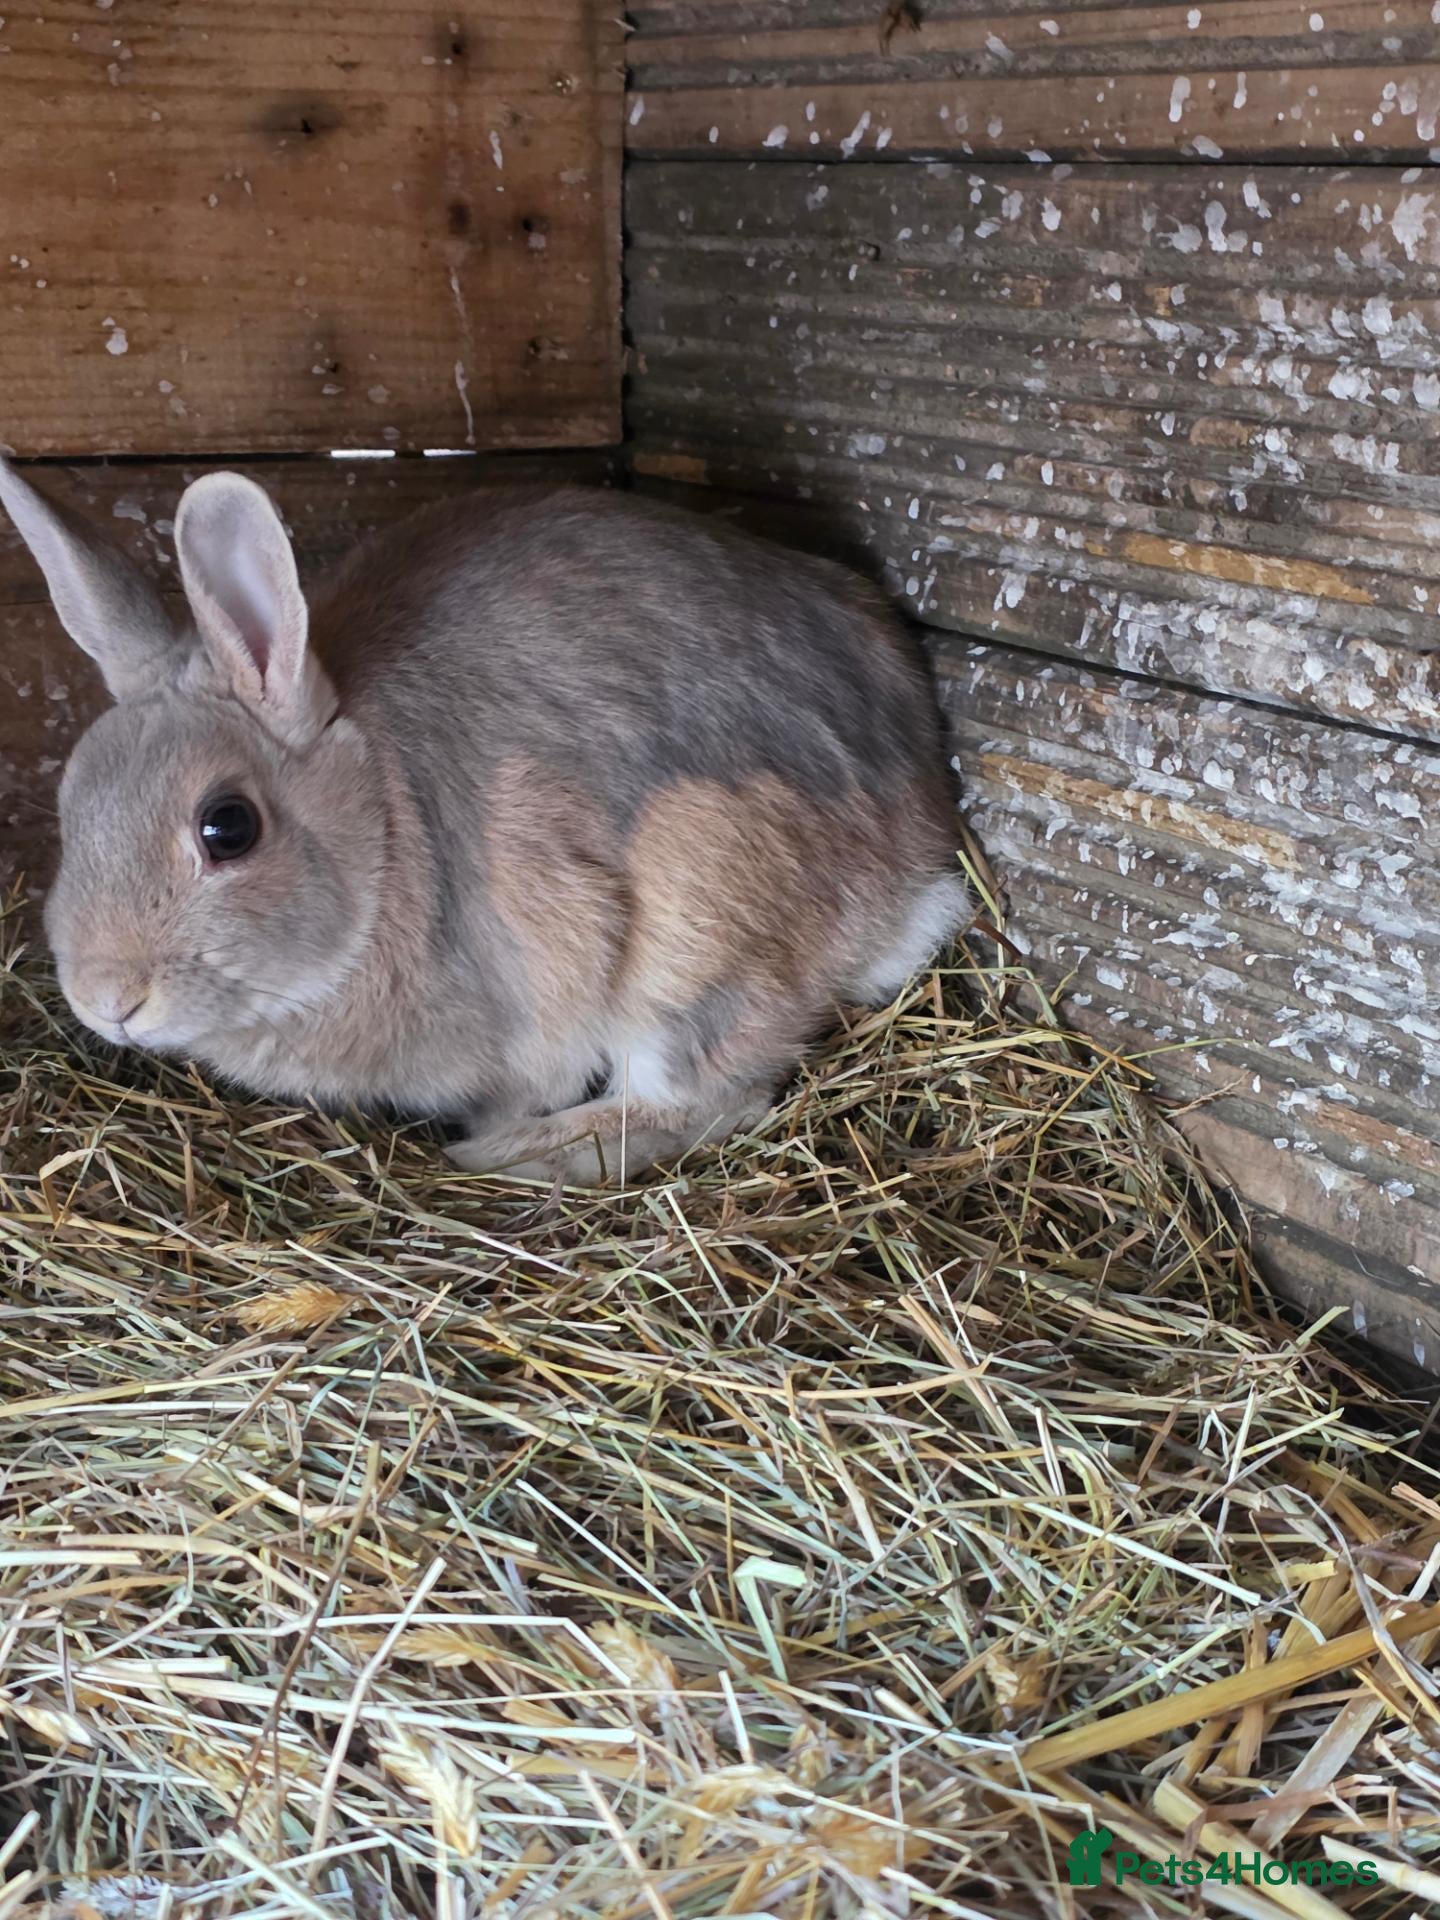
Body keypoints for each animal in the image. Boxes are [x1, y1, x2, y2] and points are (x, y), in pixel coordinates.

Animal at [0, 457, 967, 1184]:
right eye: (71, 802)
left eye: (227, 827)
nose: (108, 1000)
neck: (384, 829)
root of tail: (918, 853)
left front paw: (488, 1129)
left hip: (696, 930)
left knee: (705, 1099)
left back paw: (510, 1153)